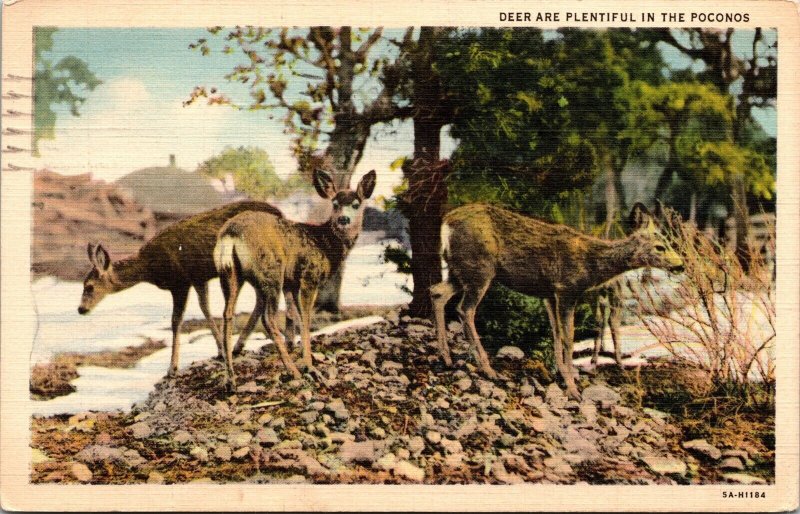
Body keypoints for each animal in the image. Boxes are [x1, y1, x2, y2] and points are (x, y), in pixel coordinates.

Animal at [79, 201, 286, 376]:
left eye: (89, 287)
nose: (81, 309)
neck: (150, 267)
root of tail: (280, 213)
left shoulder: (180, 282)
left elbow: (176, 321)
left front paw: (172, 367)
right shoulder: (198, 278)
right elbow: (205, 309)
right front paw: (220, 350)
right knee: (260, 297)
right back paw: (238, 345)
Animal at [212, 168, 376, 388]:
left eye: (356, 204)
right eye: (335, 204)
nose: (343, 220)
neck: (325, 244)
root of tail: (230, 234)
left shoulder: (290, 283)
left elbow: (292, 315)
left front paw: (301, 352)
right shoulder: (309, 276)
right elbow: (305, 319)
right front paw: (310, 366)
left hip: (231, 274)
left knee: (227, 314)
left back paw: (230, 379)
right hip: (271, 270)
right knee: (268, 318)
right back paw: (293, 371)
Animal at [428, 202, 684, 398]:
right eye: (660, 247)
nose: (681, 265)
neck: (591, 264)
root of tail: (446, 222)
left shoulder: (549, 295)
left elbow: (557, 334)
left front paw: (560, 373)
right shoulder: (566, 290)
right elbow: (569, 338)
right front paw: (573, 388)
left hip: (460, 270)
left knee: (437, 292)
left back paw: (446, 357)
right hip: (480, 268)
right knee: (465, 310)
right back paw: (487, 369)